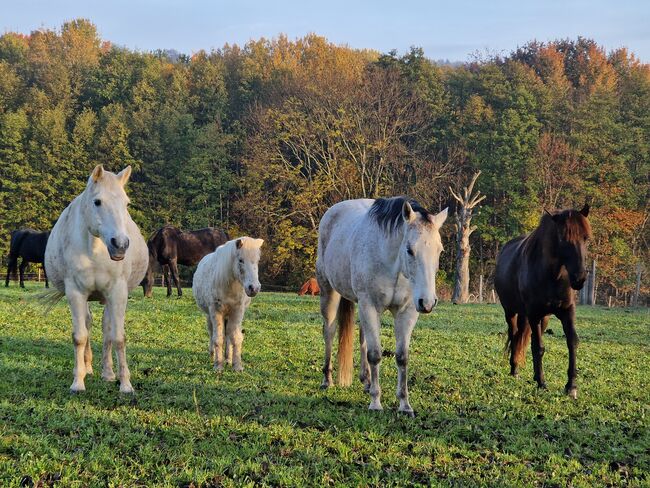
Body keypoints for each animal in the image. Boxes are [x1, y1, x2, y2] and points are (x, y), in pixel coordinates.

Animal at [44, 166, 147, 394]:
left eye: (126, 204)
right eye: (97, 202)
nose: (120, 244)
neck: (95, 251)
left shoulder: (117, 293)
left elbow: (118, 337)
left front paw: (125, 384)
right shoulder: (75, 293)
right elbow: (80, 336)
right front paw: (78, 382)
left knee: (106, 328)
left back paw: (108, 373)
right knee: (88, 324)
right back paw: (88, 368)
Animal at [191, 236, 262, 370]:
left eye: (257, 260)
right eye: (241, 260)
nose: (254, 288)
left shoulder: (237, 311)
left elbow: (236, 337)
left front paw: (237, 366)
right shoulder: (216, 311)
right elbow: (218, 338)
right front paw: (218, 366)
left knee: (229, 335)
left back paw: (228, 359)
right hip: (209, 315)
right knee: (211, 332)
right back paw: (212, 355)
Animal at [316, 196, 446, 414]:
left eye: (439, 250)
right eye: (410, 250)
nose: (427, 302)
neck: (392, 263)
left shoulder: (407, 312)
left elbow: (402, 357)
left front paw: (404, 405)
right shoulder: (368, 306)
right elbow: (375, 355)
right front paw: (376, 403)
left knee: (362, 339)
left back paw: (366, 381)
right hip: (329, 293)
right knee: (330, 332)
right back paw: (327, 379)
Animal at [494, 206, 588, 400]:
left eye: (585, 237)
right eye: (563, 238)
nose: (579, 278)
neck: (553, 276)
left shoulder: (566, 311)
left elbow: (572, 342)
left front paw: (571, 386)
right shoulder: (534, 314)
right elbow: (538, 347)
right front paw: (542, 383)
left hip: (542, 318)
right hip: (511, 311)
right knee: (514, 334)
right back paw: (514, 369)